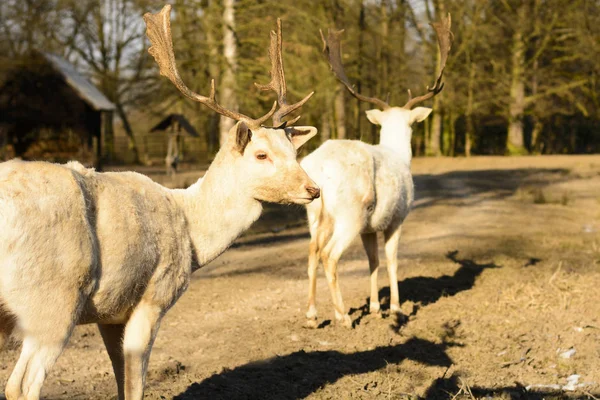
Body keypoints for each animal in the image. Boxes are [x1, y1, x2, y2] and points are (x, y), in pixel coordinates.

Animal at [0, 4, 318, 398]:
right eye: (261, 155)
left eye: (293, 150)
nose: (313, 189)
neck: (192, 236)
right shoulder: (155, 293)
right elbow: (136, 381)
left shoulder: (110, 312)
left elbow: (121, 378)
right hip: (52, 300)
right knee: (21, 384)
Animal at [302, 16, 452, 328]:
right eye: (412, 124)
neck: (401, 157)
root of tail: (319, 166)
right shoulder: (398, 217)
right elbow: (392, 259)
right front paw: (395, 308)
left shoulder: (369, 228)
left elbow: (373, 260)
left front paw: (374, 307)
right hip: (350, 214)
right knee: (329, 256)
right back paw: (343, 316)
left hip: (314, 214)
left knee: (312, 253)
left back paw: (311, 315)